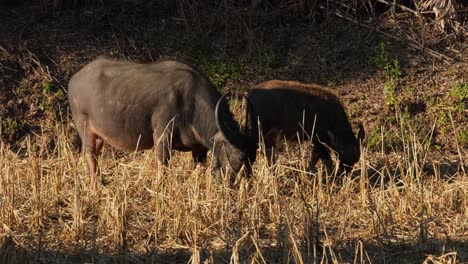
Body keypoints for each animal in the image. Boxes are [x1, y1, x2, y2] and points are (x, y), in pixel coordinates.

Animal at [68, 57, 260, 186]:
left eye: (252, 160)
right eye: (235, 158)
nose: (235, 184)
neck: (190, 102)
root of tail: (74, 79)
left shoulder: (199, 148)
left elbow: (199, 166)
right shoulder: (162, 133)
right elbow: (163, 161)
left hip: (99, 135)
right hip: (84, 126)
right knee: (89, 154)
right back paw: (96, 184)